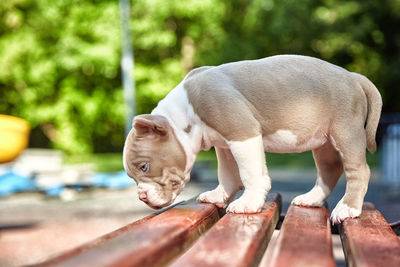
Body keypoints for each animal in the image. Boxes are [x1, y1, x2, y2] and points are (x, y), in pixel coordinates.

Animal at [122, 55, 382, 225]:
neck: (185, 114)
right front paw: (218, 195)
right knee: (330, 168)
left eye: (144, 166)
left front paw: (249, 203)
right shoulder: (224, 144)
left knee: (359, 171)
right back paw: (311, 199)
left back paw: (348, 208)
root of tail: (353, 77)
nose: (141, 196)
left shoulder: (242, 133)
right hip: (324, 141)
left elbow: (250, 173)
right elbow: (227, 174)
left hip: (346, 133)